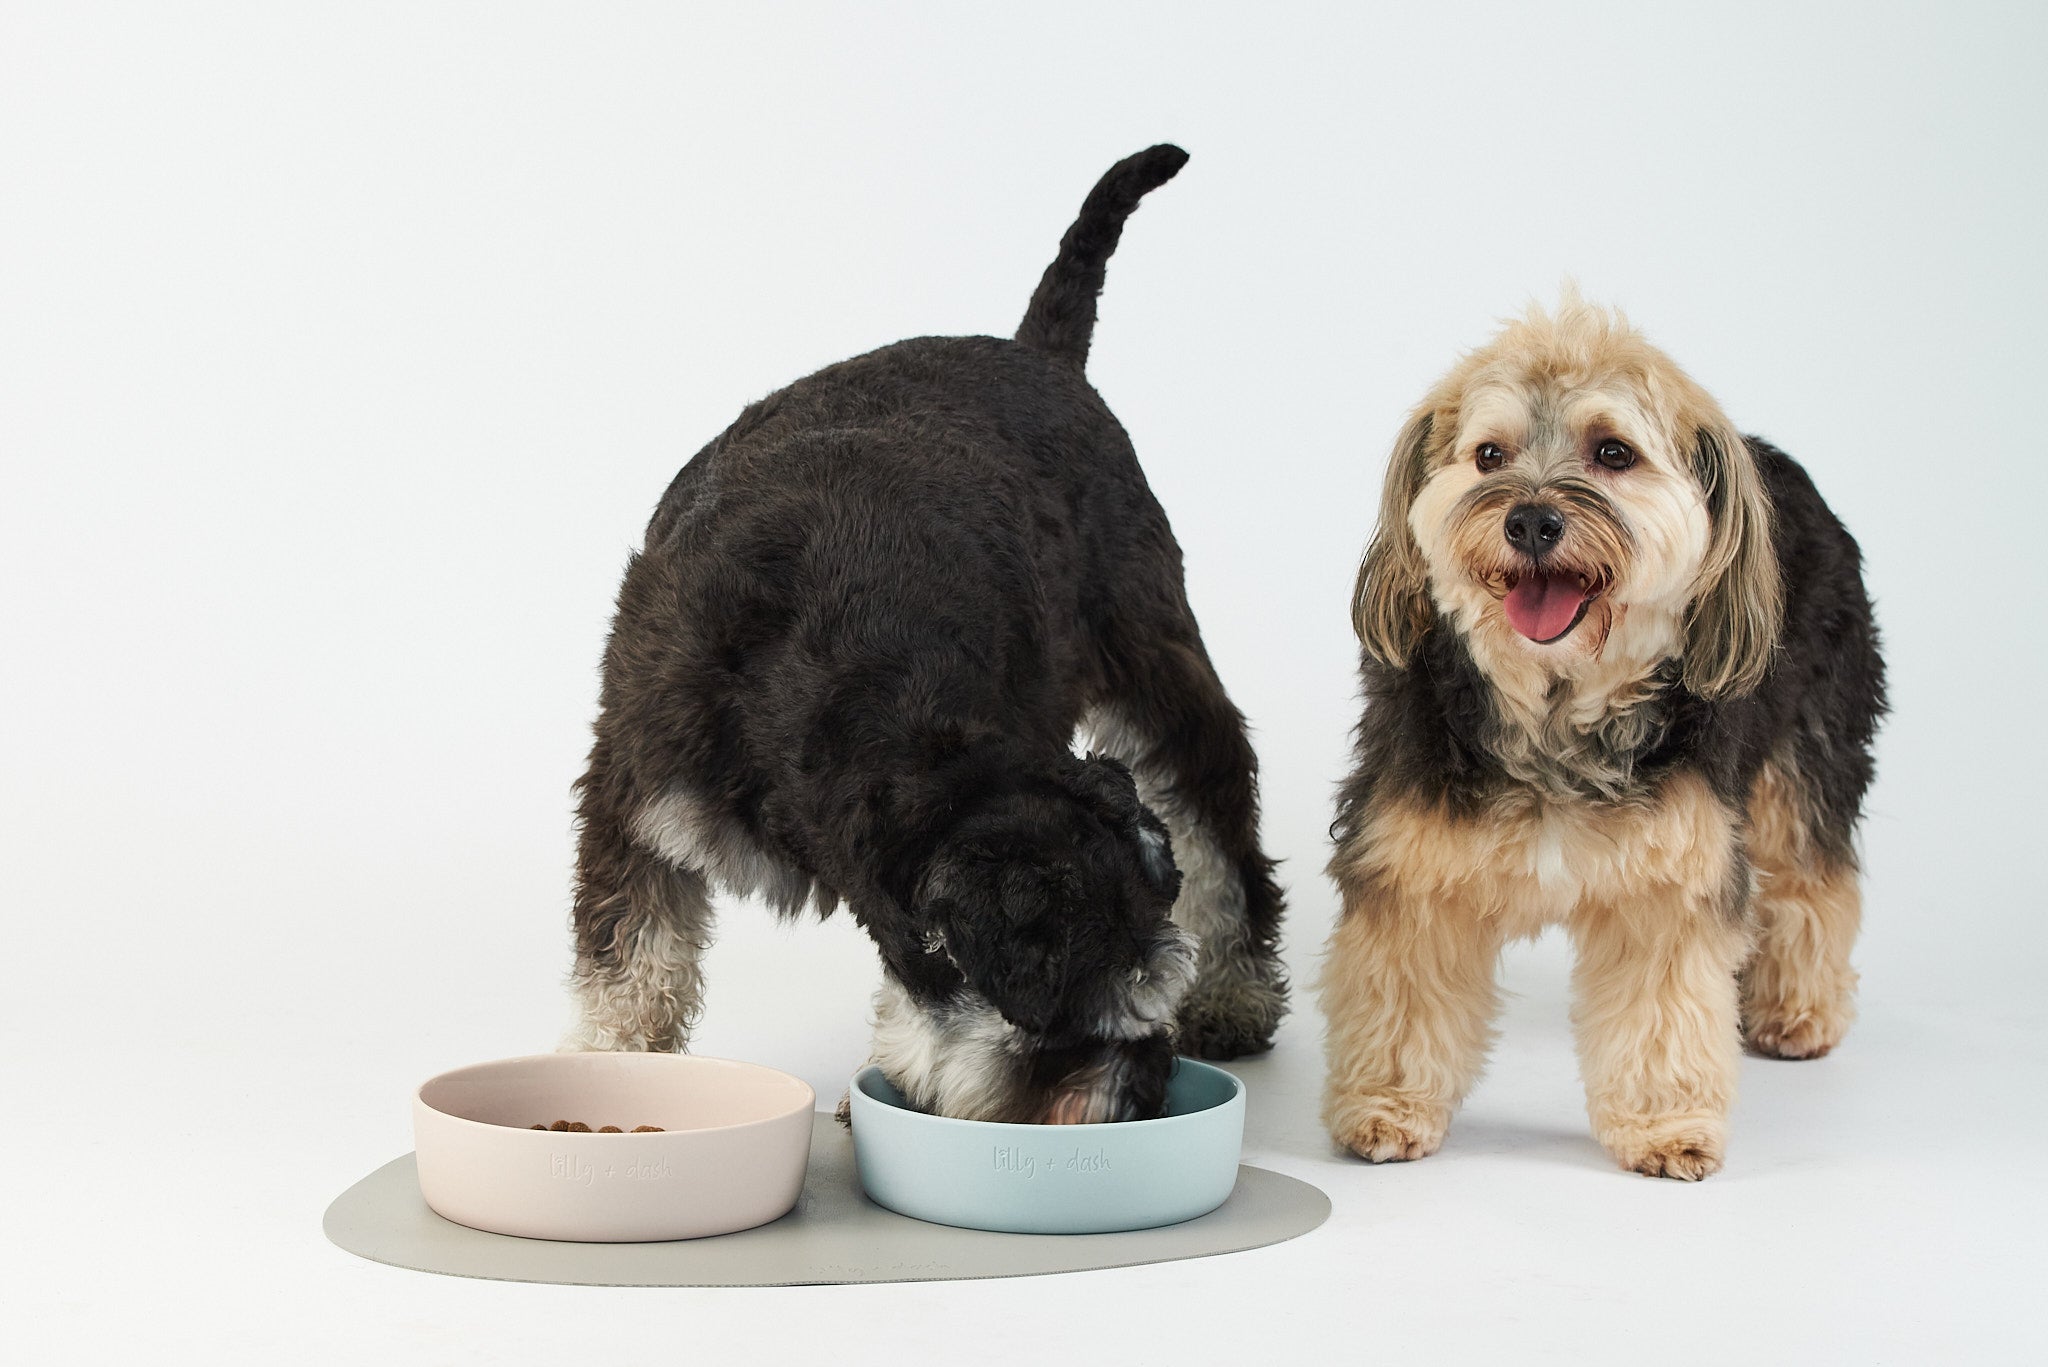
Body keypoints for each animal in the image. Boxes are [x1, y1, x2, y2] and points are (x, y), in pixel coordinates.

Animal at [563, 145, 1287, 1125]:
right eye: (1065, 1025)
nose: (1144, 1096)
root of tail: (1038, 352)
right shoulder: (638, 800)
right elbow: (629, 961)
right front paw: (609, 1073)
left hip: (1149, 646)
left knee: (1217, 806)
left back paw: (1238, 991)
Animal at [1319, 293, 1885, 1178]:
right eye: (1489, 455)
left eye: (1613, 452)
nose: (1530, 520)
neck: (1556, 711)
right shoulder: (1411, 862)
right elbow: (1402, 995)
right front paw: (1386, 1106)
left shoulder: (1671, 878)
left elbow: (1664, 1011)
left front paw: (1667, 1124)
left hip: (1807, 749)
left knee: (1811, 878)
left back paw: (1798, 1010)